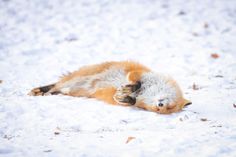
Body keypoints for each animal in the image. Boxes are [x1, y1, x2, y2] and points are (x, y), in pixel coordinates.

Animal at [29, 60, 192, 113]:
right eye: (169, 107)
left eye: (164, 110)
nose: (160, 105)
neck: (147, 91)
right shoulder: (139, 74)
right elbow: (135, 81)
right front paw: (131, 88)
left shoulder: (136, 102)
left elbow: (129, 101)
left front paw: (126, 97)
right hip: (75, 80)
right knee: (55, 85)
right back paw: (41, 91)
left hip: (71, 90)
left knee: (56, 89)